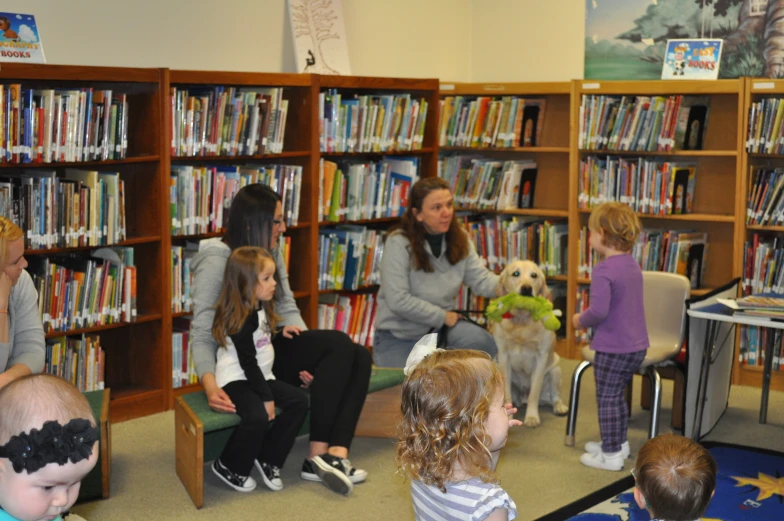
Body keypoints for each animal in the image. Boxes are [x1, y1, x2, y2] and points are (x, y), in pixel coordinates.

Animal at [494, 260, 568, 426]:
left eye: (534, 275)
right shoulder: (503, 356)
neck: (522, 319)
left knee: (555, 396)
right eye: (516, 273)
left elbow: (534, 391)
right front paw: (508, 418)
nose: (527, 288)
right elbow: (507, 392)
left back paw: (559, 407)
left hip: (555, 370)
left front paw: (532, 417)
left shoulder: (541, 357)